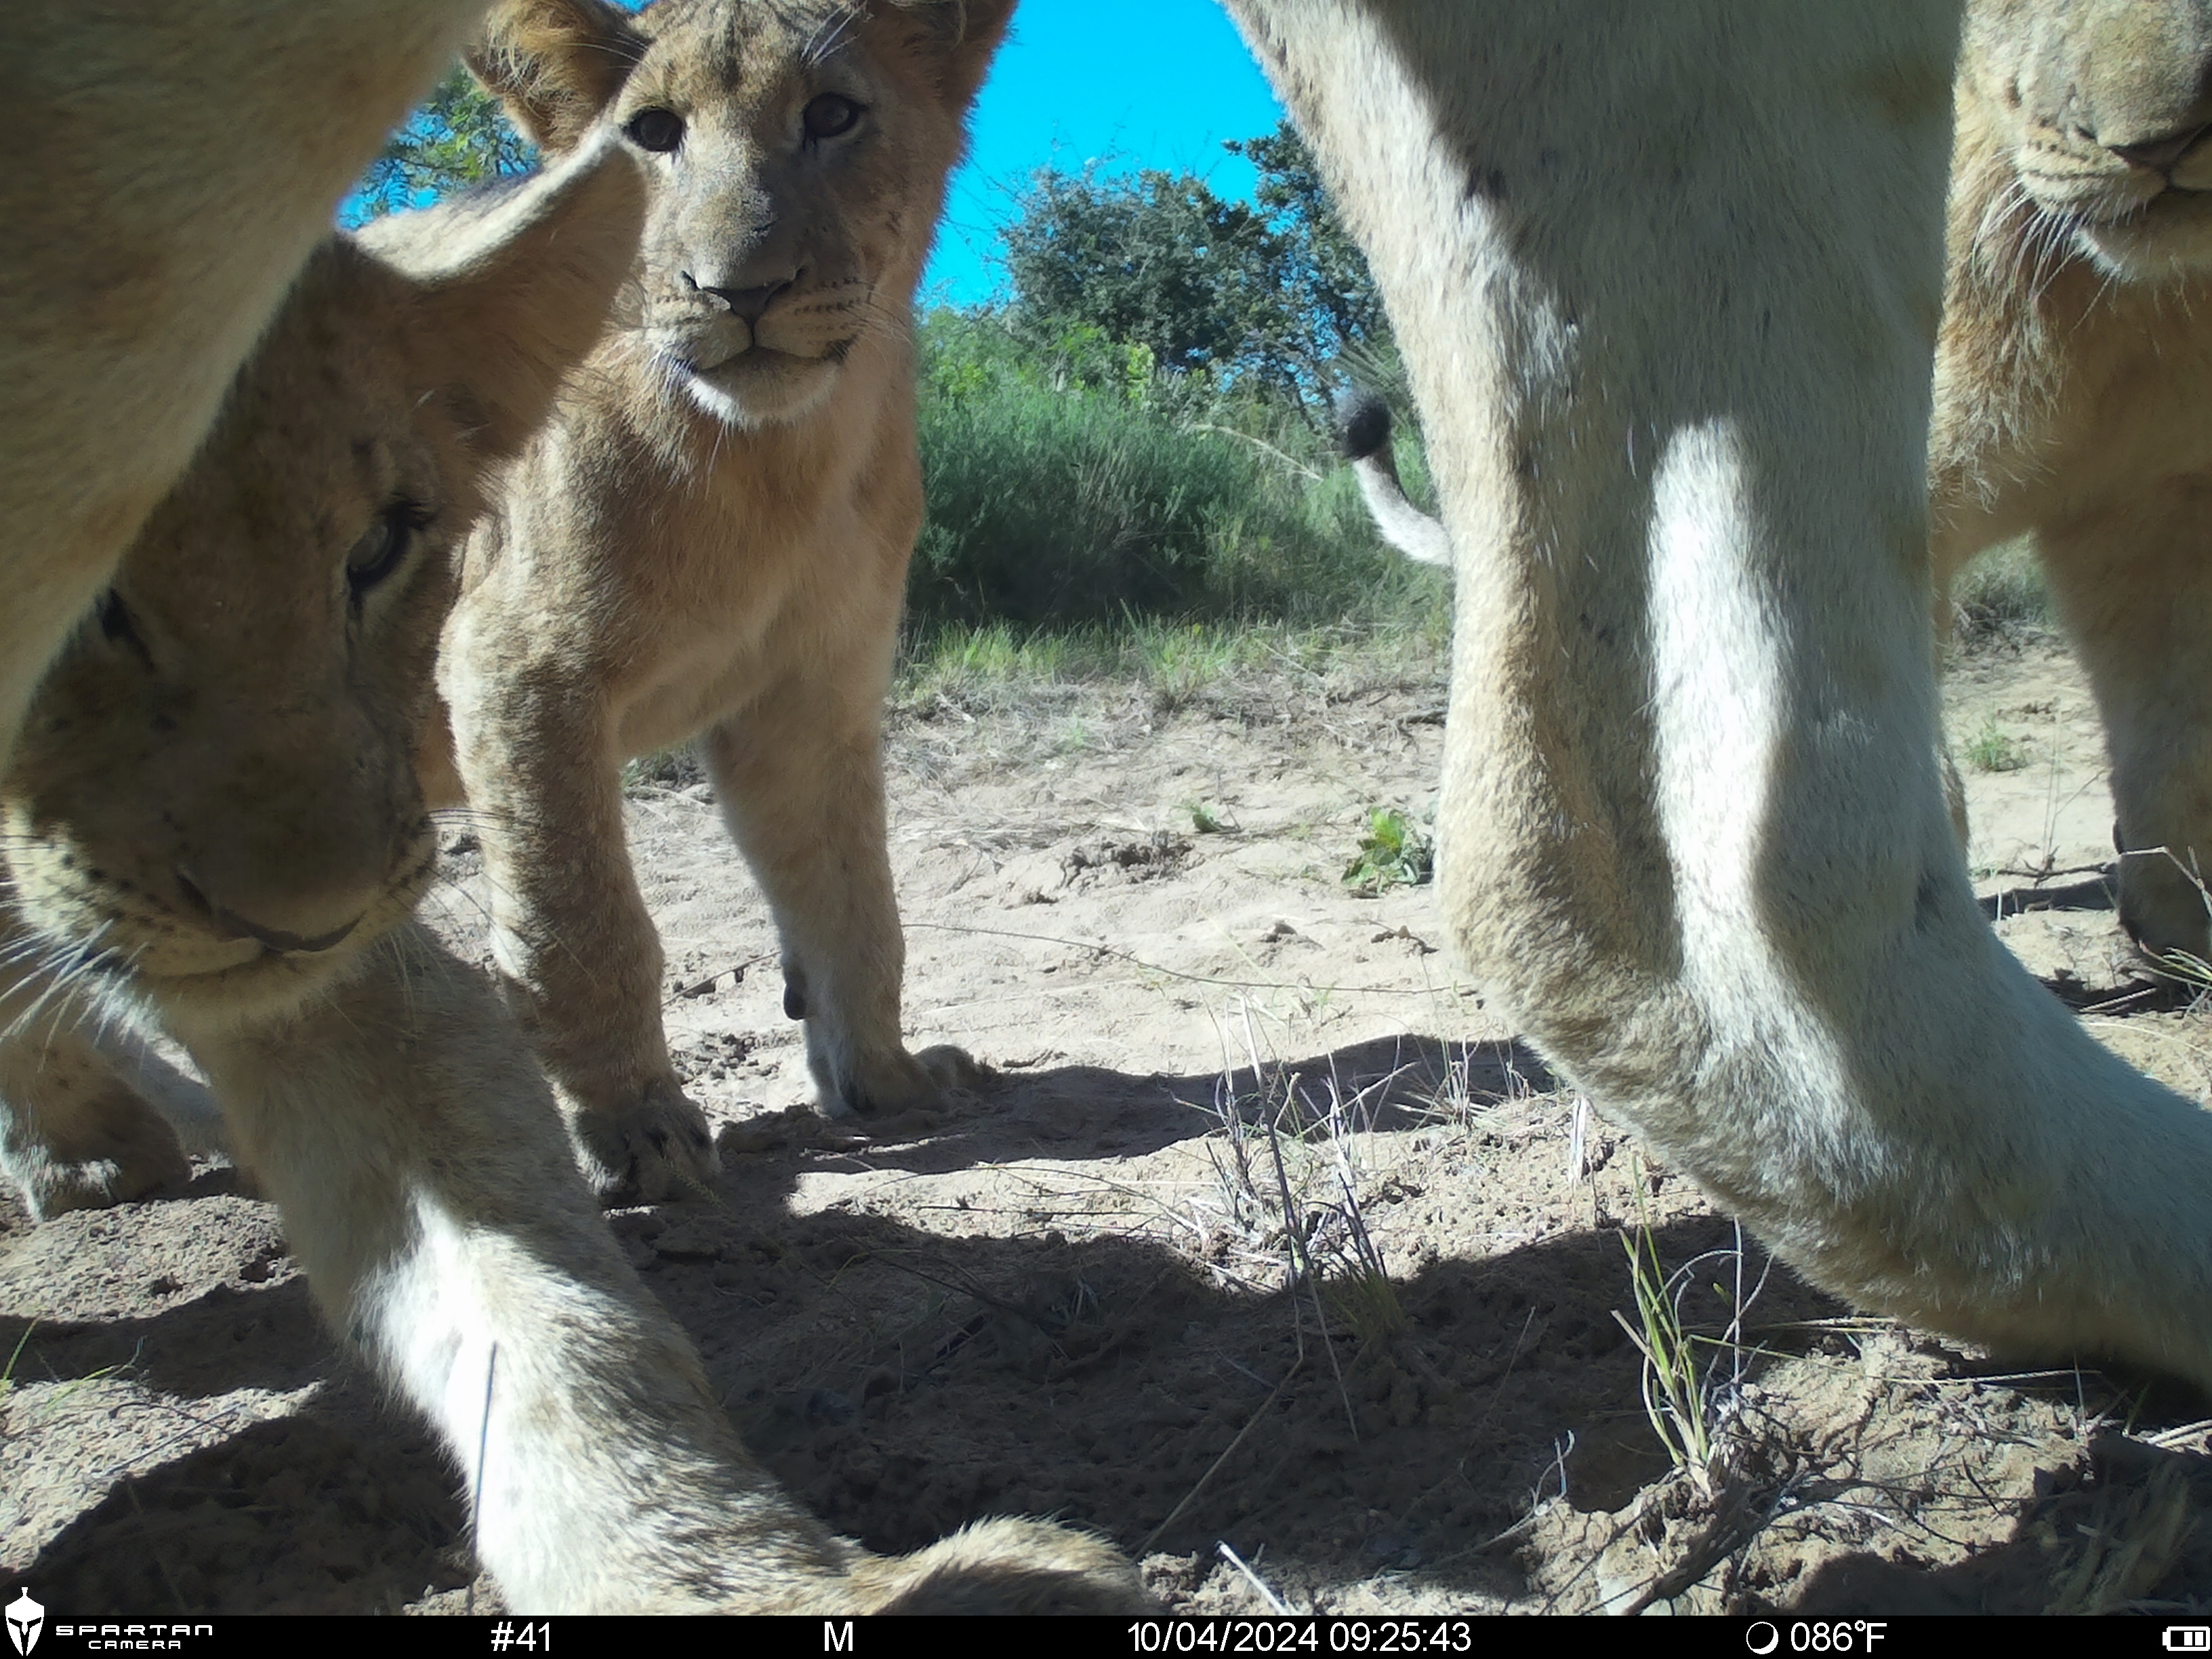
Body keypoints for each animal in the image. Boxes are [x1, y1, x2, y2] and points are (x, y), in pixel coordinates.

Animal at [419, 0, 1009, 1201]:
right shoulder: (510, 664)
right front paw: (637, 1132)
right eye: (653, 132)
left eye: (831, 115)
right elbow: (580, 921)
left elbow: (856, 906)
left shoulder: (809, 701)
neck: (774, 465)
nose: (741, 289)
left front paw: (888, 1081)